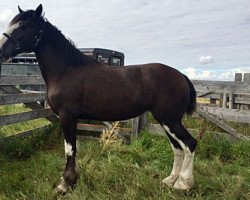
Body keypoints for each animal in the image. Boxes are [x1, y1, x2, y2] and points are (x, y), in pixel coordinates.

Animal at [0, 4, 197, 195]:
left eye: (24, 26)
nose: (1, 52)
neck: (66, 70)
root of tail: (181, 76)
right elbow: (74, 148)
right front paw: (73, 179)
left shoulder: (67, 116)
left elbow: (69, 149)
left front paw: (64, 184)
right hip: (166, 121)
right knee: (177, 147)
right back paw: (170, 180)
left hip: (170, 120)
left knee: (189, 144)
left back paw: (183, 184)